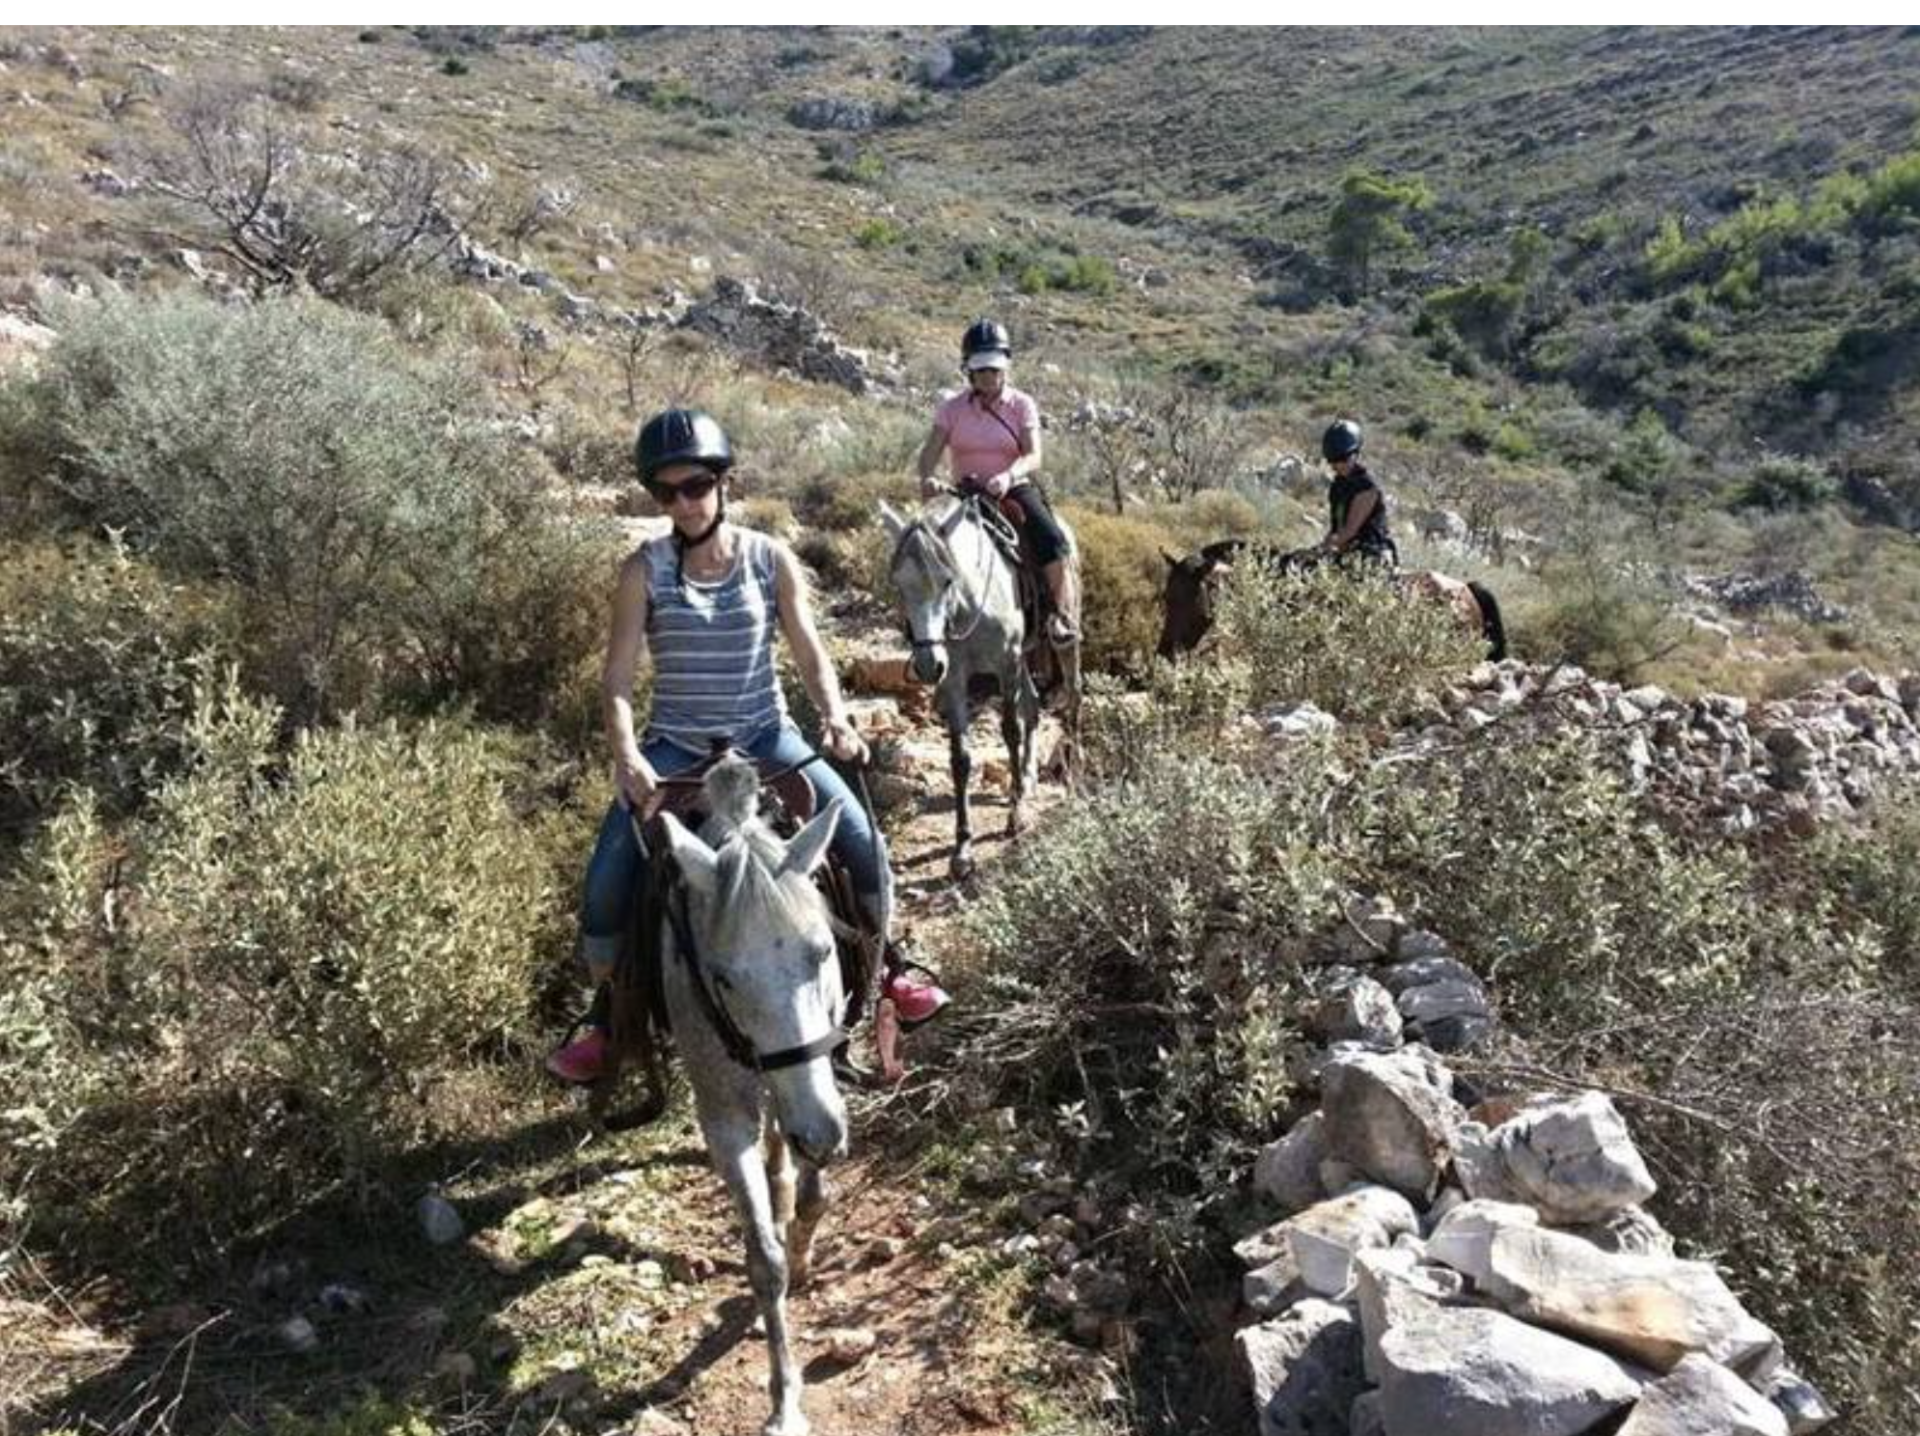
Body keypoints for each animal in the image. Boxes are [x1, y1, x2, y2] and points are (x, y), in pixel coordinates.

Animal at [650, 753, 853, 1436]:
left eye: (822, 951)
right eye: (725, 979)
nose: (822, 1133)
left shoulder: (822, 1071)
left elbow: (815, 1191)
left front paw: (805, 1246)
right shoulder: (723, 1115)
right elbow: (763, 1259)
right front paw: (785, 1400)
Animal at [881, 494, 1074, 880]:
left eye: (946, 580)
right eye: (898, 584)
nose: (927, 664)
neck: (967, 606)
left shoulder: (1006, 665)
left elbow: (1011, 733)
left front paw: (1016, 814)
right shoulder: (955, 677)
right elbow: (960, 760)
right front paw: (962, 848)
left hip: (1059, 642)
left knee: (1070, 695)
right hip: (1024, 657)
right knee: (1033, 705)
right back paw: (1028, 776)